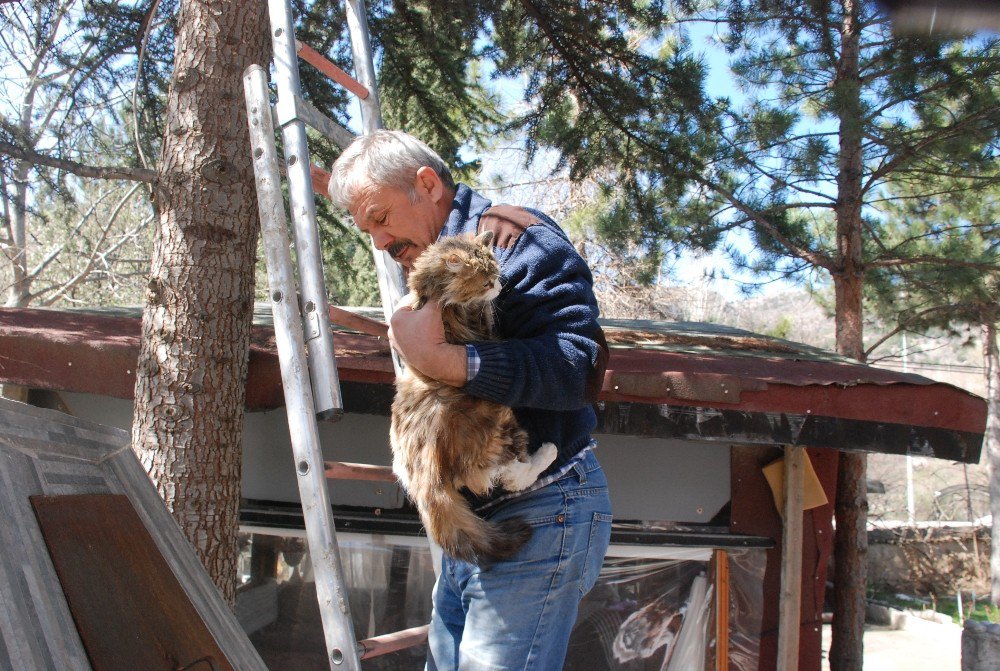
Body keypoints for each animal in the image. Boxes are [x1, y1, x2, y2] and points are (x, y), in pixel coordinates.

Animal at [388, 231, 560, 568]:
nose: (498, 286)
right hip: (499, 423)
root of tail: (425, 476)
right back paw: (548, 452)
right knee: (511, 476)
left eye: (495, 271)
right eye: (485, 280)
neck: (432, 293)